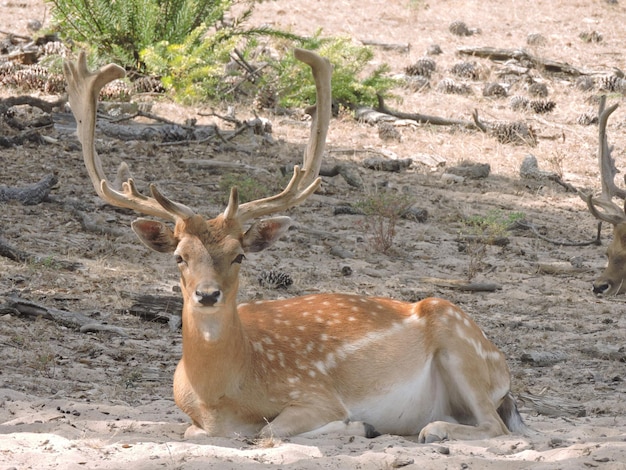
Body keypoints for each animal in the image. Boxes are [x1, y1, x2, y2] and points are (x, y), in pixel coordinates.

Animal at [63, 49, 524, 442]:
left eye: (239, 255)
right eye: (180, 256)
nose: (207, 295)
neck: (220, 395)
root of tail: (500, 363)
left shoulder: (315, 393)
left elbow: (270, 431)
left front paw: (360, 426)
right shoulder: (194, 418)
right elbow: (198, 432)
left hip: (459, 340)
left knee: (497, 427)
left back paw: (431, 430)